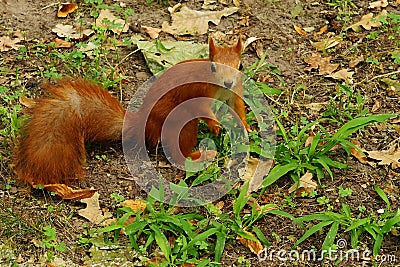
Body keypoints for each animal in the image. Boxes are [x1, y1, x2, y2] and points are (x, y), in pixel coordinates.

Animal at [12, 38, 248, 187]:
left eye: (240, 66)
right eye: (213, 67)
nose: (228, 82)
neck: (221, 88)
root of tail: (144, 124)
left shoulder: (235, 93)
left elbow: (238, 107)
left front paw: (244, 126)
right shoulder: (199, 91)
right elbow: (202, 109)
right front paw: (215, 125)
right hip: (178, 122)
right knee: (177, 150)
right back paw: (199, 156)